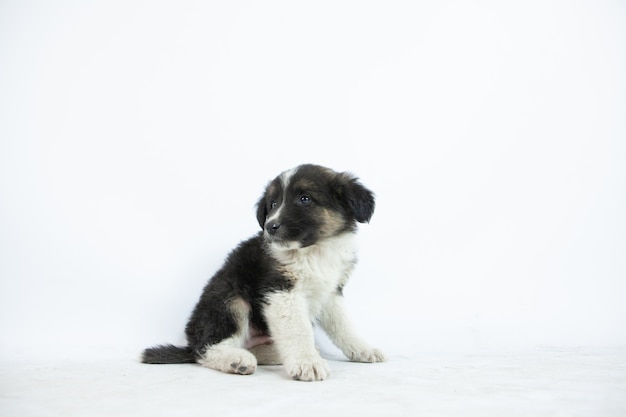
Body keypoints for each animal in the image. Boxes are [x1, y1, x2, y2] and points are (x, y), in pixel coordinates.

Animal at [143, 162, 386, 380]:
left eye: (305, 199)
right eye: (274, 203)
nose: (270, 227)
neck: (315, 251)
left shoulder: (331, 291)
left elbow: (344, 326)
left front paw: (363, 350)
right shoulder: (281, 290)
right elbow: (298, 330)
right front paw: (307, 363)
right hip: (230, 300)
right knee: (205, 349)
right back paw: (236, 360)